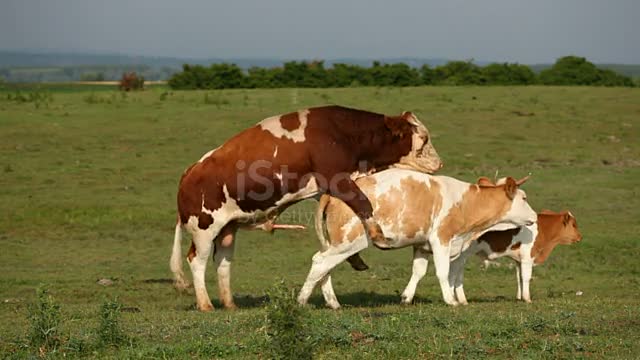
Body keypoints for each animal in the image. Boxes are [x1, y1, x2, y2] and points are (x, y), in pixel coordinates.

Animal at [168, 105, 442, 310]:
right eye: (424, 138)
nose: (439, 163)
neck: (342, 133)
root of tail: (190, 171)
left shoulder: (323, 191)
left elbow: (326, 240)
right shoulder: (336, 179)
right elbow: (363, 203)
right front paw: (377, 236)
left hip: (227, 229)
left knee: (223, 262)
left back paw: (229, 303)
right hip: (204, 228)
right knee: (197, 261)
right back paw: (205, 304)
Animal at [298, 169, 536, 310]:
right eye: (524, 198)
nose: (534, 216)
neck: (466, 203)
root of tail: (332, 193)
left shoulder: (421, 245)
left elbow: (418, 271)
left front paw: (407, 297)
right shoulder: (442, 239)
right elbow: (443, 272)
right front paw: (450, 300)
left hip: (338, 244)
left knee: (325, 267)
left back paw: (332, 302)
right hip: (348, 242)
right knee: (320, 262)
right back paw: (302, 300)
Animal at [448, 208, 584, 304]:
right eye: (574, 225)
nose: (580, 237)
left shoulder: (518, 260)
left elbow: (519, 278)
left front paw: (519, 298)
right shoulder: (527, 258)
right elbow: (526, 277)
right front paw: (527, 299)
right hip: (461, 257)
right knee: (455, 275)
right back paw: (461, 300)